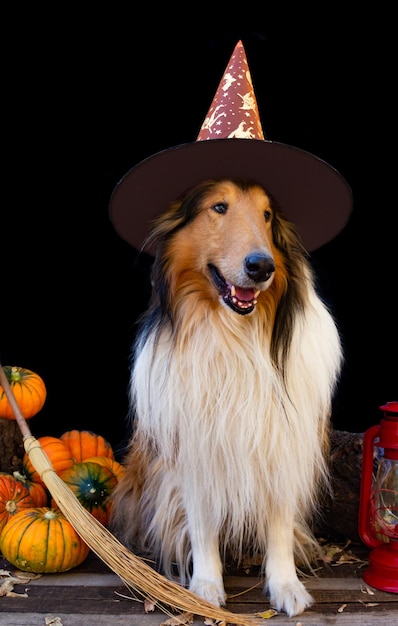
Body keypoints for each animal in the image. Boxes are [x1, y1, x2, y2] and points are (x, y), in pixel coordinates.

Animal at [110, 178, 344, 616]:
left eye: (267, 214)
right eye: (219, 207)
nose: (262, 267)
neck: (234, 333)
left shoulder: (282, 444)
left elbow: (279, 525)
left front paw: (286, 586)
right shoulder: (194, 448)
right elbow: (202, 524)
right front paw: (204, 587)